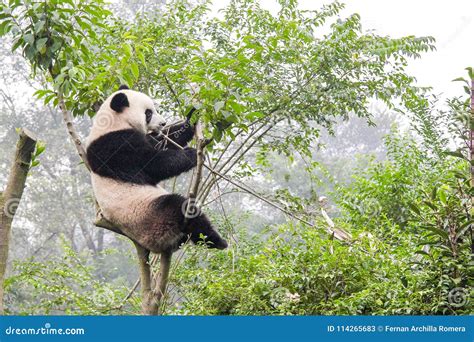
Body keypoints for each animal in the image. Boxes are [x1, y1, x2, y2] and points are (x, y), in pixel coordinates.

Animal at [86, 84, 229, 252]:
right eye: (148, 113)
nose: (163, 123)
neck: (113, 123)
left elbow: (167, 139)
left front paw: (194, 114)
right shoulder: (114, 148)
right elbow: (153, 165)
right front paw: (191, 154)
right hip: (150, 218)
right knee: (180, 207)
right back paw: (216, 241)